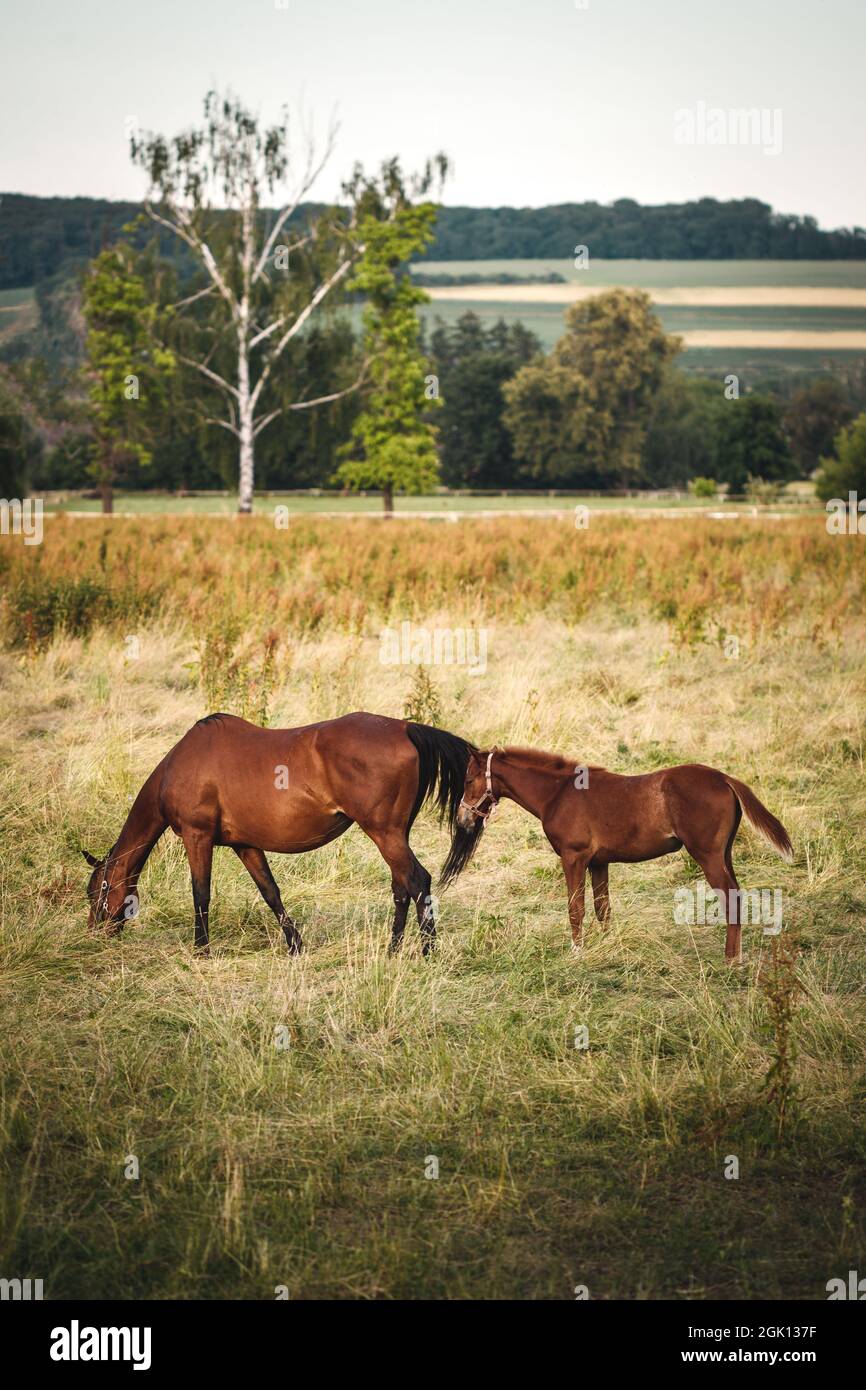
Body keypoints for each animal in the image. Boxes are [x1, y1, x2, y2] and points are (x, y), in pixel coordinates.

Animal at [82, 712, 484, 956]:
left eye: (98, 890)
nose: (94, 935)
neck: (180, 767)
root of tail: (403, 727)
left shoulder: (197, 838)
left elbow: (200, 894)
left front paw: (201, 950)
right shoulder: (245, 845)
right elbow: (270, 892)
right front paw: (295, 945)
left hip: (385, 833)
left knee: (418, 881)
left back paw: (427, 952)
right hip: (394, 835)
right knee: (402, 887)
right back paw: (392, 950)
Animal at [454, 747, 793, 962]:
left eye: (468, 780)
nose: (463, 818)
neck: (558, 794)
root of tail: (723, 778)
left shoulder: (573, 857)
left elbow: (576, 907)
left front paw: (577, 952)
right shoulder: (599, 863)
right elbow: (602, 908)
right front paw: (607, 945)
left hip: (707, 855)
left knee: (730, 896)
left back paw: (731, 958)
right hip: (725, 854)